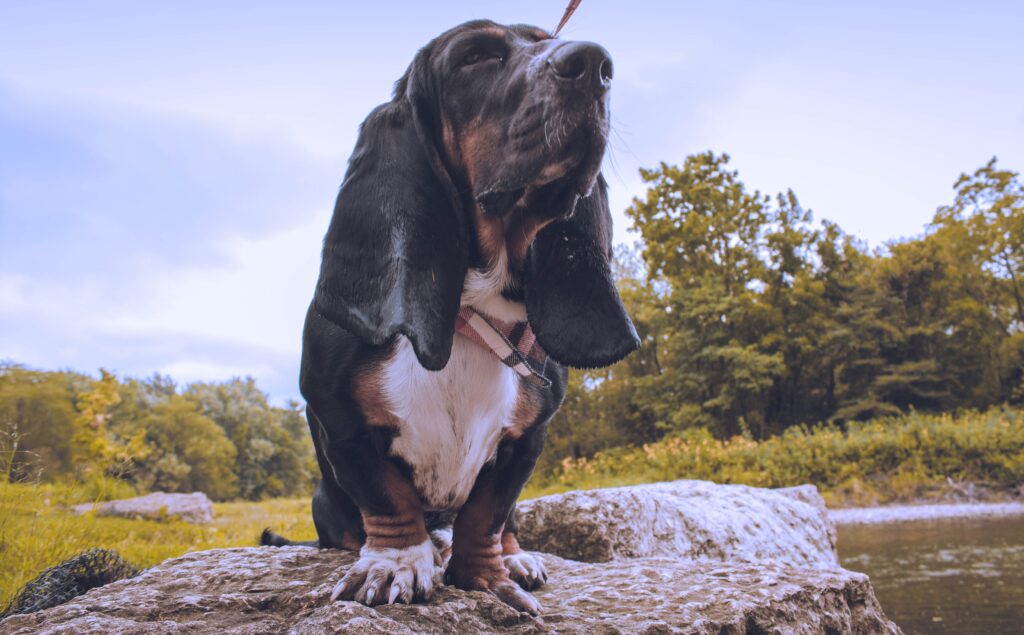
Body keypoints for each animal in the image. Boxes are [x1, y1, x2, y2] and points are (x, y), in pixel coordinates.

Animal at [260, 19, 634, 614]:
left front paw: (487, 576)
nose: (597, 64)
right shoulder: (340, 421)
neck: (470, 308)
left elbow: (487, 514)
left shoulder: (526, 441)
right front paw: (393, 565)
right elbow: (387, 499)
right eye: (474, 57)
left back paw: (512, 557)